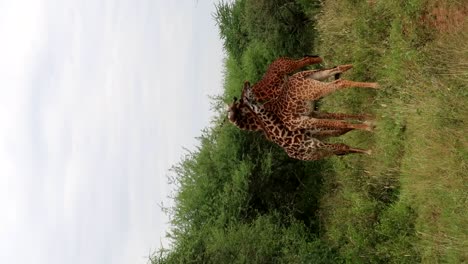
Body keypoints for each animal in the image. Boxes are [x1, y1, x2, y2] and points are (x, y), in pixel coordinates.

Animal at [239, 81, 372, 160]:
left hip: (320, 148)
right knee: (340, 145)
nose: (246, 83)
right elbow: (342, 139)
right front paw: (370, 132)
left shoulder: (317, 138)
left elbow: (342, 133)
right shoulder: (316, 143)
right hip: (316, 153)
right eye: (245, 96)